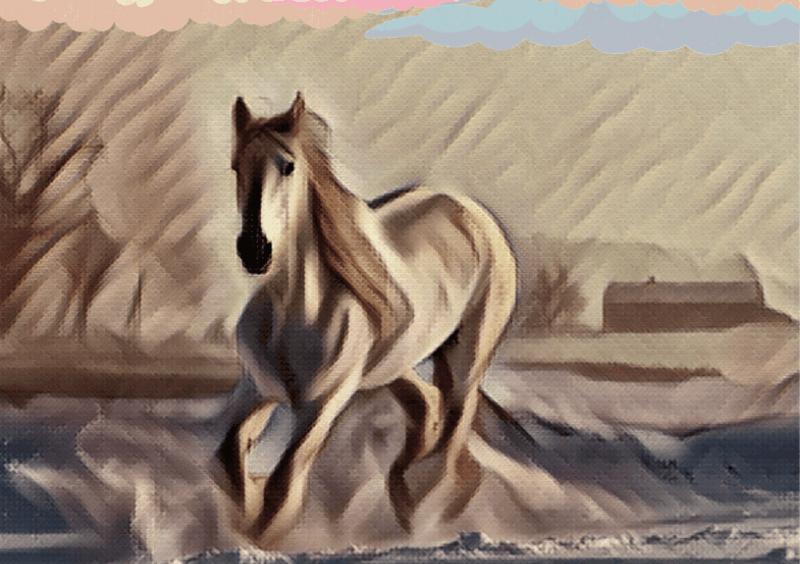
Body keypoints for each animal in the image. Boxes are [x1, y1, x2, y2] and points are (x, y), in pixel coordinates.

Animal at [217, 92, 517, 546]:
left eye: (287, 166)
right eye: (237, 166)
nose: (255, 250)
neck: (296, 313)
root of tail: (472, 212)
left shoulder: (324, 402)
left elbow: (282, 485)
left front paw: (261, 533)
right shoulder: (256, 388)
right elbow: (228, 462)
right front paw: (246, 515)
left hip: (468, 357)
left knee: (447, 441)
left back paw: (427, 511)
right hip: (393, 364)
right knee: (427, 408)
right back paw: (407, 496)